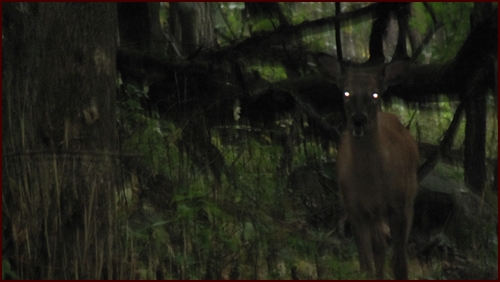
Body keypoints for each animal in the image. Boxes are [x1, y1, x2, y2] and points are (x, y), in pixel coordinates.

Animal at [318, 55, 420, 280]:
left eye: (374, 93)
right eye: (346, 92)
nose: (358, 119)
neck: (372, 183)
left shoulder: (399, 206)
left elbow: (400, 262)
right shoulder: (355, 209)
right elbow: (366, 264)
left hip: (409, 197)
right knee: (379, 249)